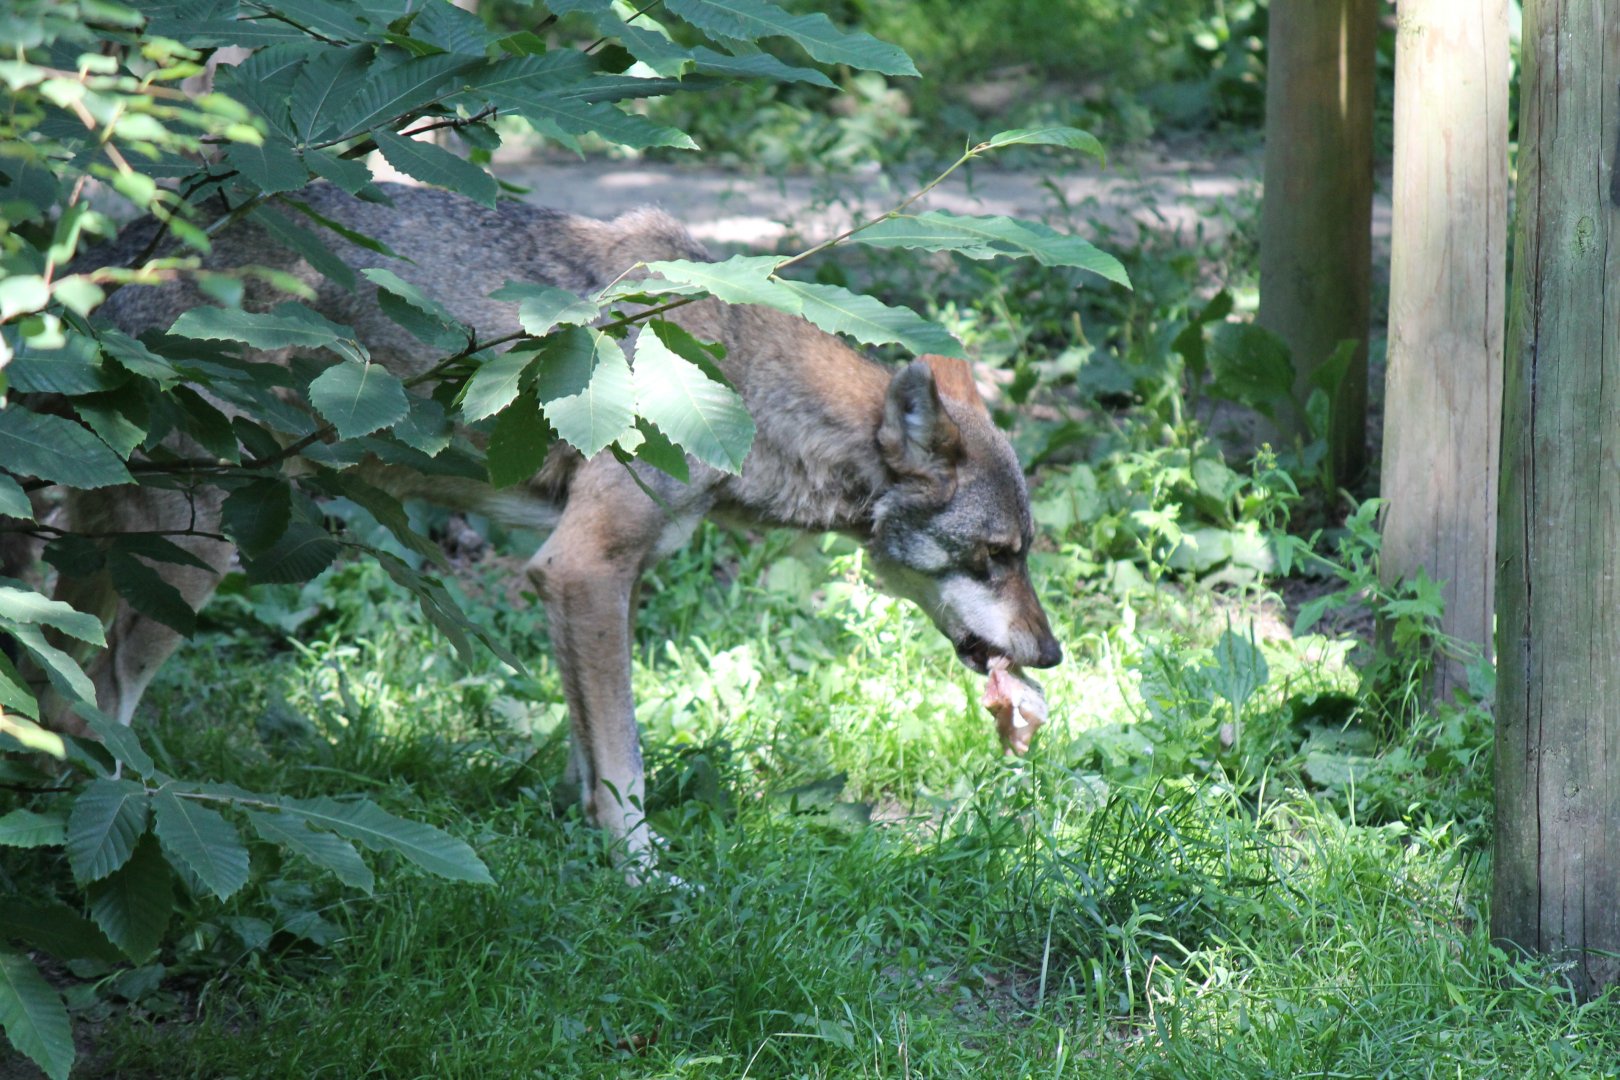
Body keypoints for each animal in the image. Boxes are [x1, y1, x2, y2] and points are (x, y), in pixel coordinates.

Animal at [25, 183, 1062, 869]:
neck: (743, 376)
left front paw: (577, 839)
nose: (1051, 655)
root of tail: (91, 276)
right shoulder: (583, 568)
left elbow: (589, 746)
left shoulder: (594, 578)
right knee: (89, 706)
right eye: (998, 556)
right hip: (187, 565)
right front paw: (645, 880)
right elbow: (626, 763)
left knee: (49, 687)